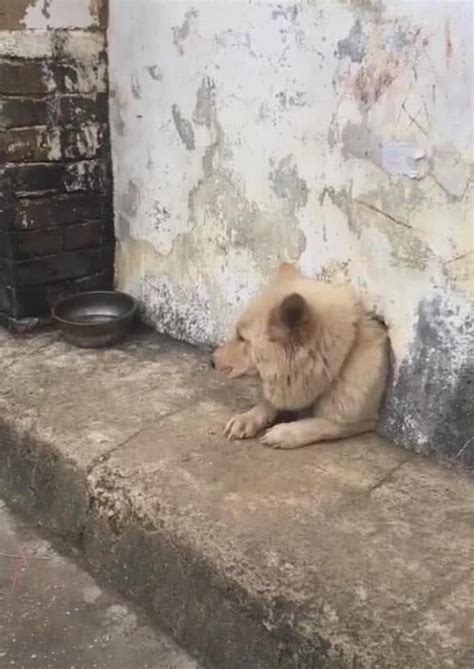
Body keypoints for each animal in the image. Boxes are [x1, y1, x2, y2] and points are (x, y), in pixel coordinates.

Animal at [211, 262, 388, 448]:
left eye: (241, 338)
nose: (211, 361)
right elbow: (269, 401)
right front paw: (248, 418)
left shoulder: (366, 420)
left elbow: (324, 425)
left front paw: (286, 433)